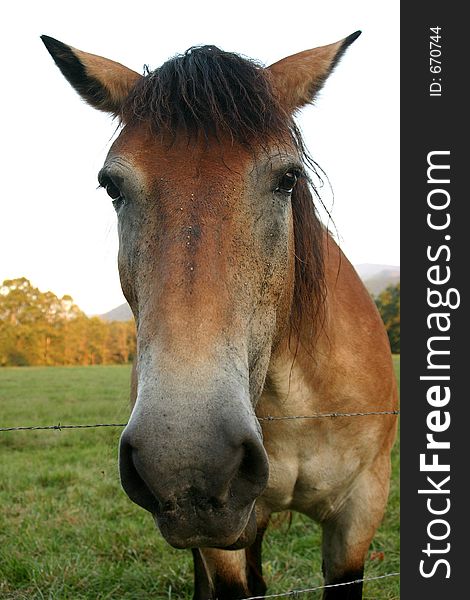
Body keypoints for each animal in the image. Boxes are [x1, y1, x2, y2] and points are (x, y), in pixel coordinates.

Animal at [43, 34, 396, 600]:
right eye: (112, 186)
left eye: (288, 178)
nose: (186, 460)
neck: (296, 400)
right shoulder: (219, 535)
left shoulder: (361, 510)